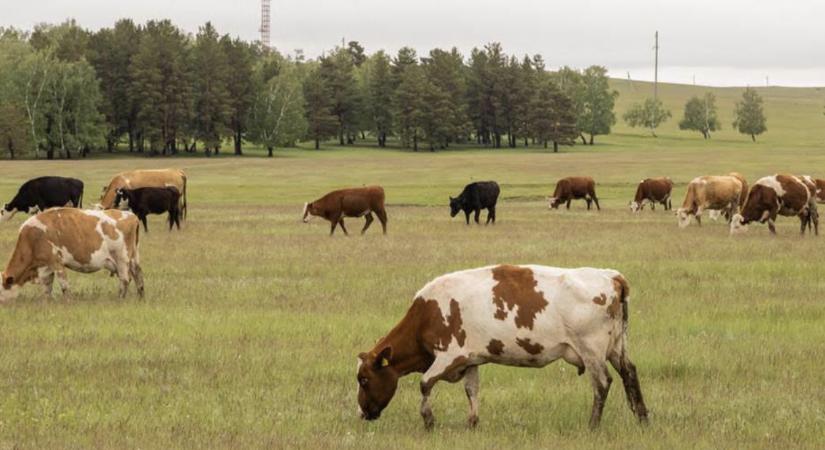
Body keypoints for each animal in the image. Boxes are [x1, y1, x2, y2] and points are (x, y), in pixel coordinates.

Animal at [0, 208, 144, 302]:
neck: (32, 239)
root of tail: (131, 215)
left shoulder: (56, 262)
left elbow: (64, 285)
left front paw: (68, 301)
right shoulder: (46, 267)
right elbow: (47, 287)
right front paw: (47, 301)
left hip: (122, 259)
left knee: (125, 279)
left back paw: (120, 299)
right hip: (133, 258)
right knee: (138, 275)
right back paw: (140, 297)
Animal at [358, 266, 648, 430]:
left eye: (364, 379)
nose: (362, 412)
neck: (427, 313)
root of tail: (612, 276)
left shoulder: (450, 356)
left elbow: (425, 384)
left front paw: (429, 420)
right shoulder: (470, 359)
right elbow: (471, 391)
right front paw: (472, 424)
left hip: (592, 350)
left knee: (602, 383)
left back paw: (593, 426)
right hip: (617, 347)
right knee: (630, 374)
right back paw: (642, 419)